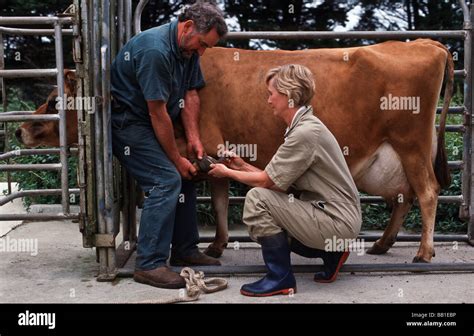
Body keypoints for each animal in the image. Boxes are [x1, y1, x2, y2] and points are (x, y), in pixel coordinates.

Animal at [17, 39, 452, 264]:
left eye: (54, 100)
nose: (19, 128)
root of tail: (424, 42)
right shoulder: (213, 152)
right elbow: (221, 199)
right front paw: (217, 245)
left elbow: (219, 197)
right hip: (394, 154)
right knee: (403, 197)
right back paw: (382, 244)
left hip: (411, 144)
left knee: (427, 193)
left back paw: (424, 252)